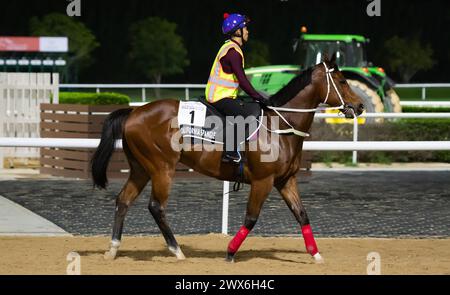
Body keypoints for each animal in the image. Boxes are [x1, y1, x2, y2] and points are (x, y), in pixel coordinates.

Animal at [90, 55, 362, 264]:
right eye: (342, 80)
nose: (359, 106)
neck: (279, 126)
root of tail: (134, 112)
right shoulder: (263, 181)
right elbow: (251, 218)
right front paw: (230, 252)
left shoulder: (285, 180)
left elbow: (302, 214)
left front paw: (315, 255)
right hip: (161, 168)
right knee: (156, 207)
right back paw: (177, 250)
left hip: (141, 169)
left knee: (123, 200)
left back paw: (113, 249)